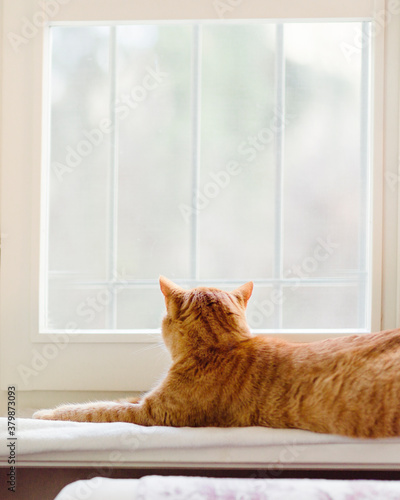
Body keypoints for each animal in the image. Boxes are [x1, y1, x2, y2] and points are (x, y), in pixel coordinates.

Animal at [33, 278, 400, 438]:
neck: (219, 349)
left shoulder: (152, 412)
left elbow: (94, 410)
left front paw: (45, 413)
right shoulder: (146, 400)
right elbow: (108, 402)